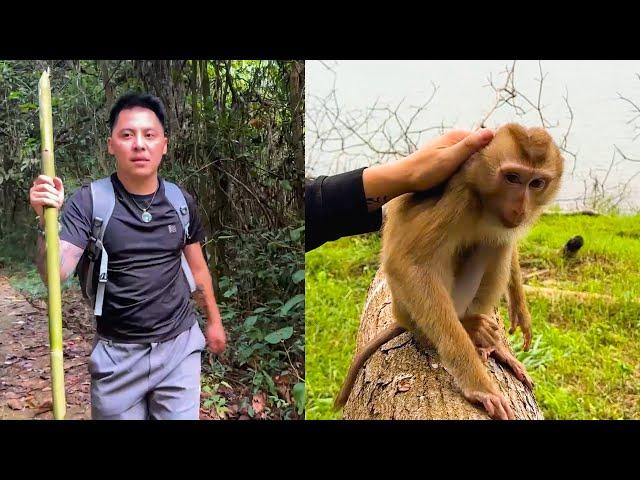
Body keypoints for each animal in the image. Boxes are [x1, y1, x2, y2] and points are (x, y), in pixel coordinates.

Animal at [336, 124, 564, 420]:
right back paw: (463, 329)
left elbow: (507, 240)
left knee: (496, 242)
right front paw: (479, 387)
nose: (520, 208)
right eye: (512, 177)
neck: (484, 204)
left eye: (536, 183)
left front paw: (519, 307)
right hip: (416, 310)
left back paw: (483, 337)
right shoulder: (459, 196)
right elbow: (407, 262)